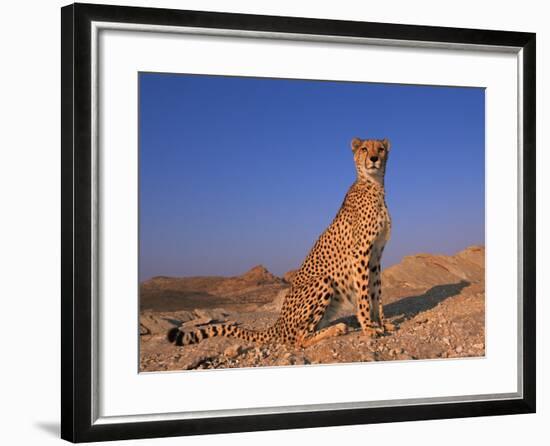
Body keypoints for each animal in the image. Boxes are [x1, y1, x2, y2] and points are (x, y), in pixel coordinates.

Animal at [168, 137, 396, 348]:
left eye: (380, 149)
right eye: (364, 149)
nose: (373, 158)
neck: (374, 185)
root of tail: (278, 323)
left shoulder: (375, 256)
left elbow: (376, 292)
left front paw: (382, 323)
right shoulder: (360, 254)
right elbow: (364, 295)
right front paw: (369, 327)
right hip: (323, 281)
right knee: (298, 339)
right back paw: (336, 329)